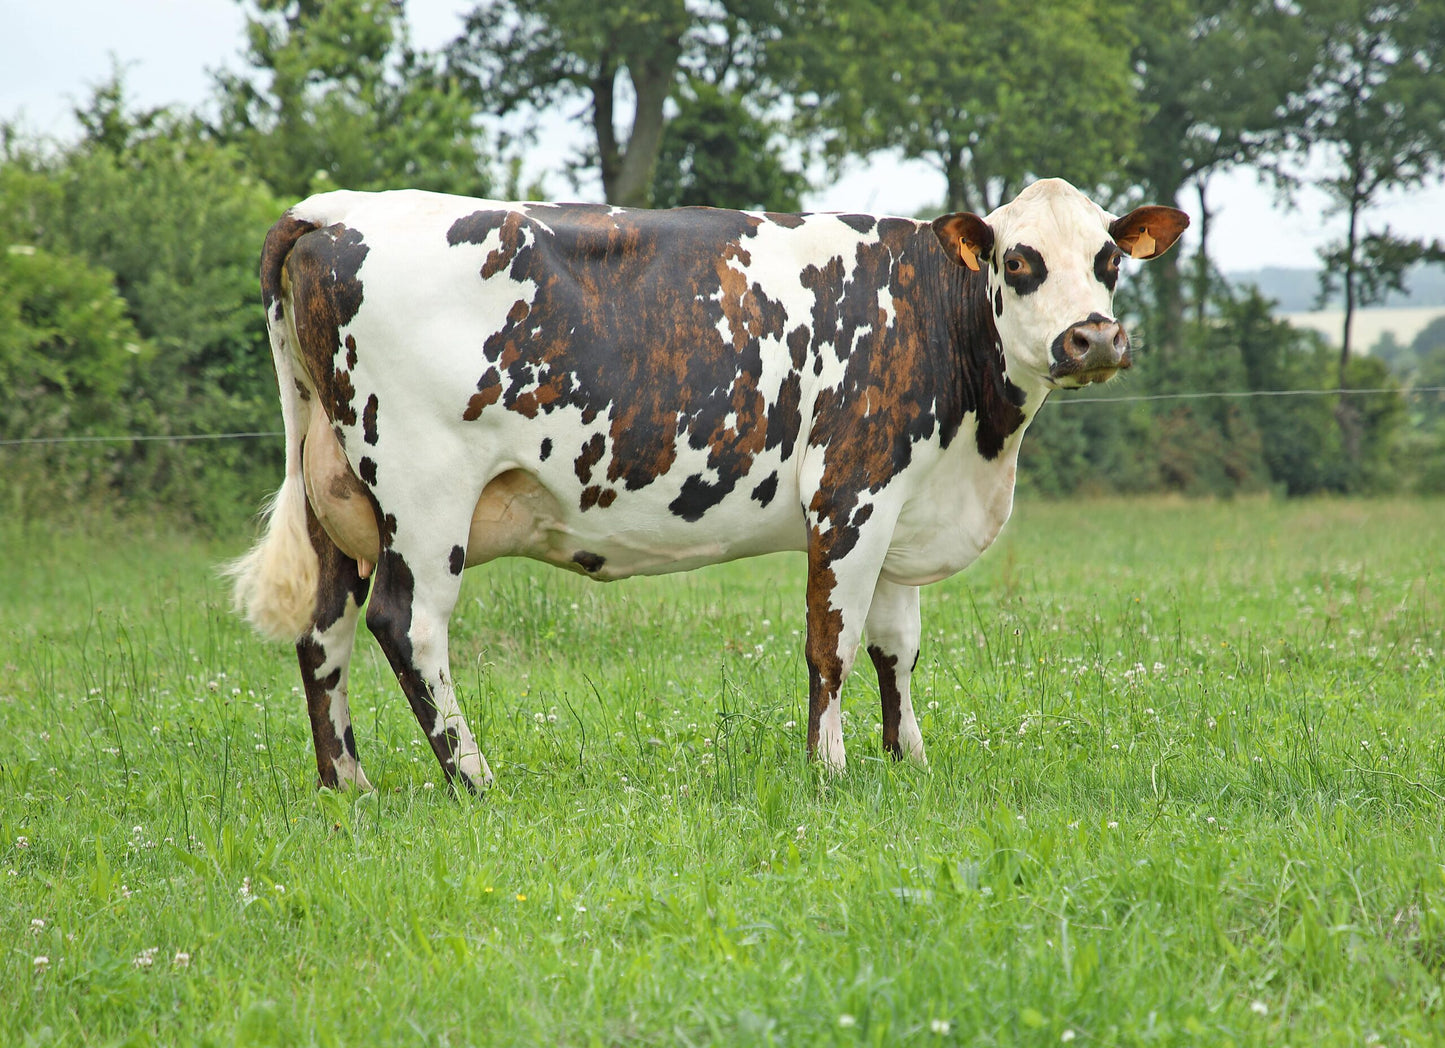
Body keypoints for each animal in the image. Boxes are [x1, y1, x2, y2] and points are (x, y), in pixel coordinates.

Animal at [228, 178, 1187, 795]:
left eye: (1107, 257)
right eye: (1018, 260)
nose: (1093, 338)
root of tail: (337, 209)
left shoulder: (903, 505)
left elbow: (895, 647)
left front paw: (908, 762)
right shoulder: (850, 494)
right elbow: (832, 645)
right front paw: (829, 770)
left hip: (337, 494)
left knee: (323, 630)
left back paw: (348, 784)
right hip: (424, 493)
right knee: (408, 624)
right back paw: (473, 779)